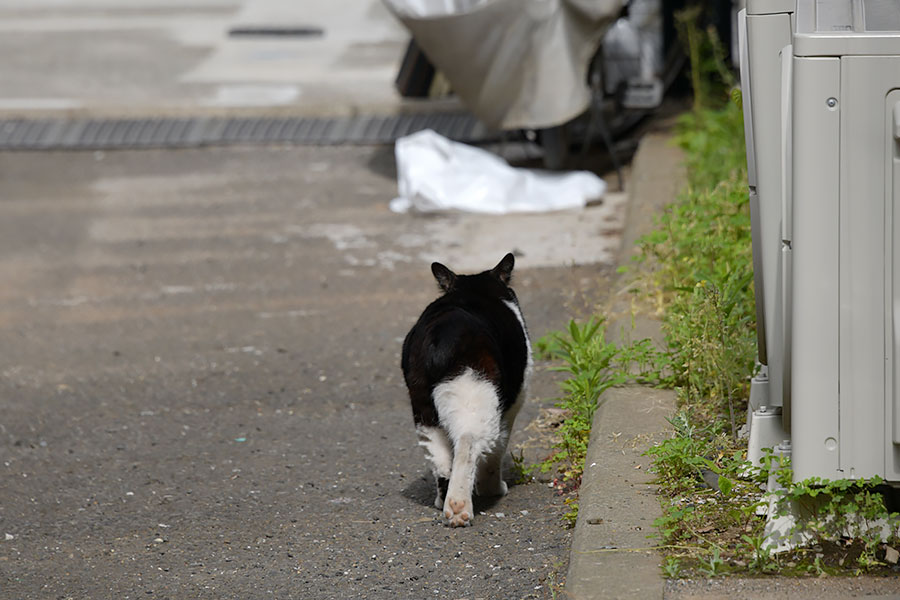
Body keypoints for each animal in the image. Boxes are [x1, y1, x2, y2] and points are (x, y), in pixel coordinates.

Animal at [402, 253, 536, 524]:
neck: (474, 289)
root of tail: (440, 335)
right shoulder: (509, 409)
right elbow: (496, 453)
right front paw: (492, 489)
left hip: (424, 409)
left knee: (442, 459)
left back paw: (442, 501)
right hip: (477, 397)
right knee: (467, 443)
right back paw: (458, 507)